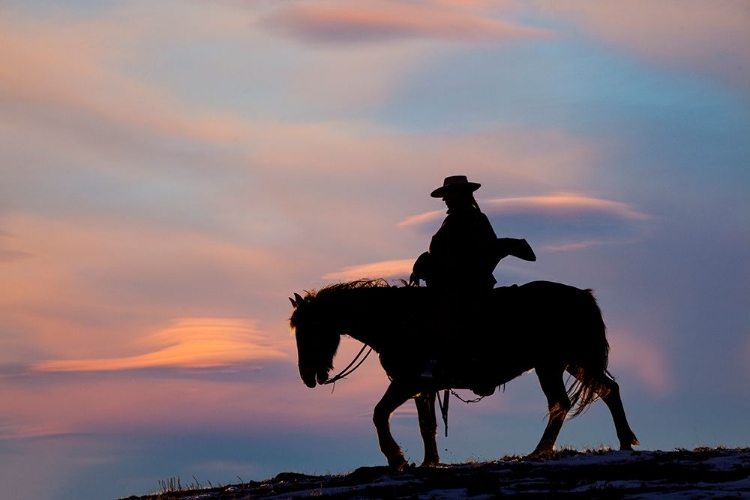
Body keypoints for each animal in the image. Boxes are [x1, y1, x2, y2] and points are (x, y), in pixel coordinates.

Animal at [290, 280, 640, 470]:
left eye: (309, 330)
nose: (307, 377)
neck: (398, 321)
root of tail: (582, 295)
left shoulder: (407, 382)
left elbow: (379, 414)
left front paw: (396, 458)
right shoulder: (422, 387)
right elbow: (426, 425)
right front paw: (429, 461)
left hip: (551, 365)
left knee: (561, 403)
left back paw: (540, 451)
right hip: (572, 362)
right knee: (609, 390)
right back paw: (625, 442)